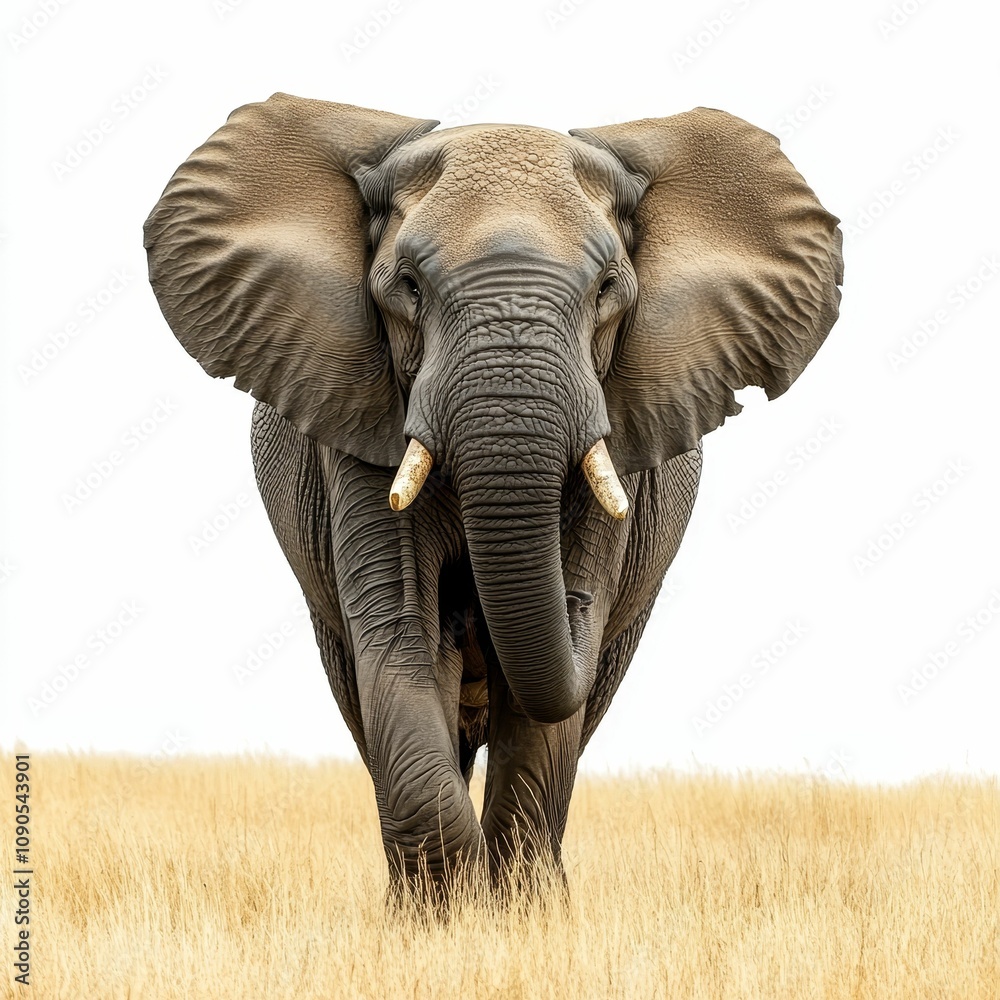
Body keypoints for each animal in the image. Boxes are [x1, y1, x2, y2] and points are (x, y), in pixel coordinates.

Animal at [144, 94, 842, 898]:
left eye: (607, 289)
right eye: (408, 287)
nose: (472, 605)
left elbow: (545, 699)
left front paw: (518, 908)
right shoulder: (357, 423)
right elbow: (400, 637)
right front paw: (448, 909)